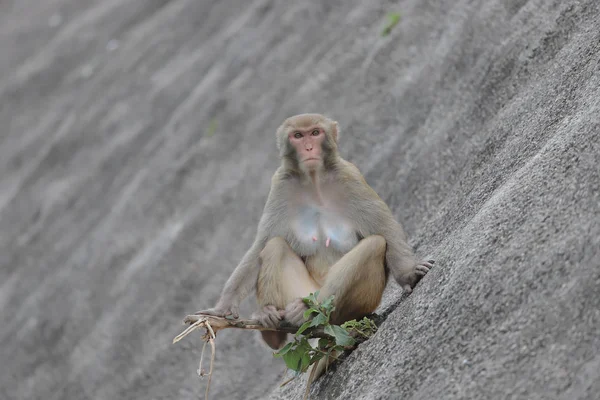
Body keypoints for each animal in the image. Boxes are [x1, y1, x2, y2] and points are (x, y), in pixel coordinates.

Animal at [199, 113, 434, 368]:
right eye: (298, 136)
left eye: (315, 133)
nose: (309, 148)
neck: (314, 180)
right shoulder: (280, 184)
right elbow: (261, 245)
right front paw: (223, 307)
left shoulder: (350, 177)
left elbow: (386, 229)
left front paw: (409, 273)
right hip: (302, 292)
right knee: (275, 246)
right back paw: (270, 325)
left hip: (350, 307)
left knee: (374, 245)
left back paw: (308, 311)